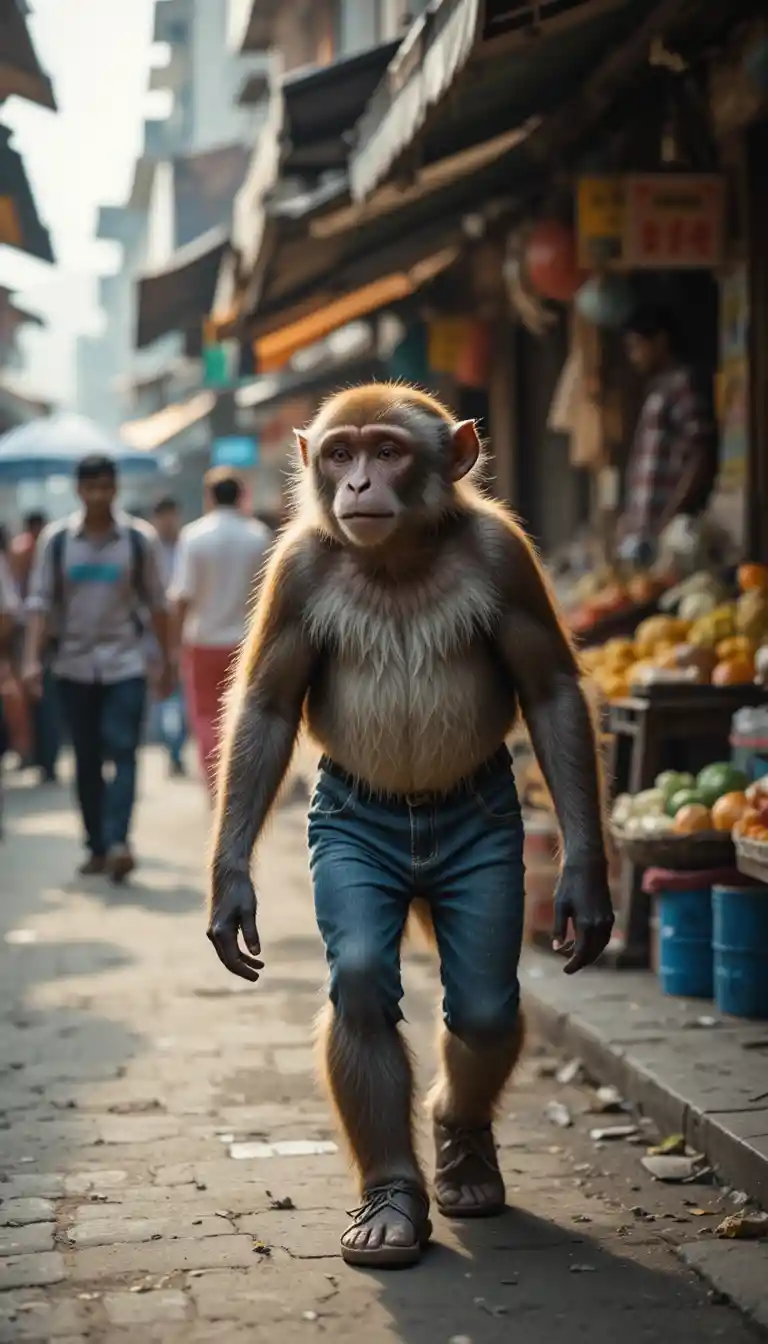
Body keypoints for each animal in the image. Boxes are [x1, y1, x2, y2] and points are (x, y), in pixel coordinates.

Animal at [207, 383, 614, 1270]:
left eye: (388, 451)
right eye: (340, 454)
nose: (358, 485)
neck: (397, 556)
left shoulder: (506, 558)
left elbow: (552, 693)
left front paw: (586, 885)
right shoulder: (295, 571)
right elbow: (267, 710)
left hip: (484, 854)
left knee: (484, 1002)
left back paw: (463, 1151)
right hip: (354, 828)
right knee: (367, 985)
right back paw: (399, 1192)